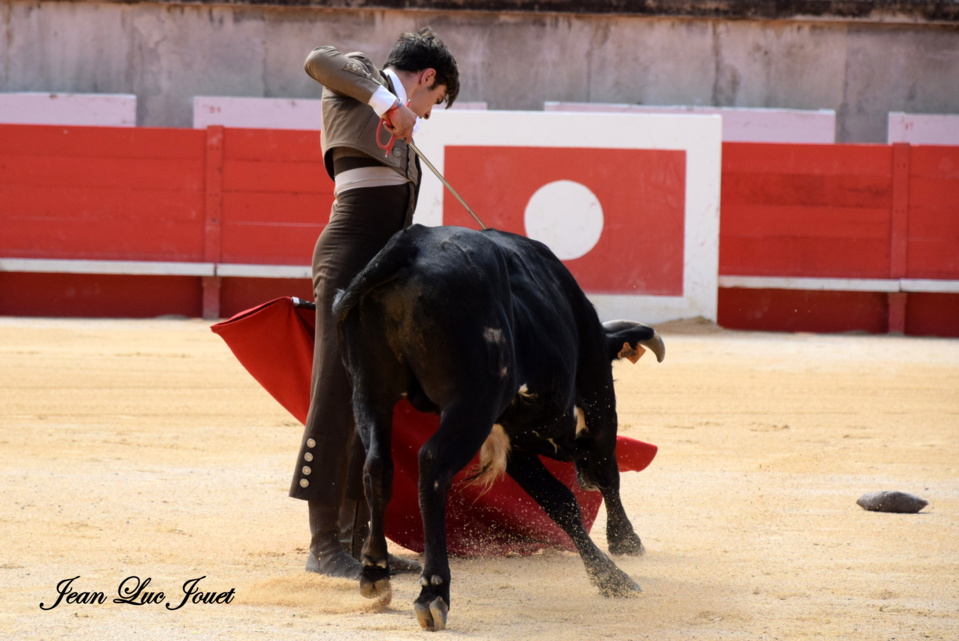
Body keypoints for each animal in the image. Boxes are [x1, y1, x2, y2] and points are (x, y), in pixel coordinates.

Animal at [334, 225, 664, 632]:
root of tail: (410, 244)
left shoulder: (512, 440)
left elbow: (559, 500)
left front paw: (608, 566)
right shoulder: (598, 401)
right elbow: (606, 476)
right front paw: (619, 555)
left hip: (369, 392)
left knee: (378, 466)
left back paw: (374, 572)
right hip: (473, 403)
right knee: (433, 465)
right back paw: (433, 591)